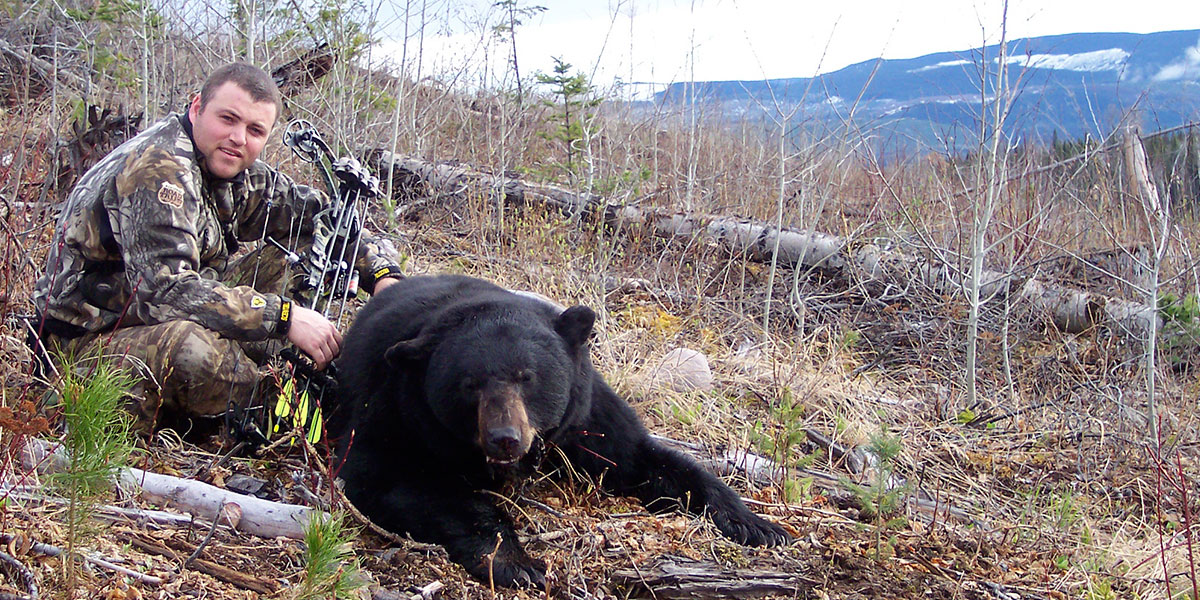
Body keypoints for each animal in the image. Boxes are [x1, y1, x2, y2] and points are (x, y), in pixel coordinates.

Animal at [333, 274, 792, 585]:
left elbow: (642, 458)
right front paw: (518, 562)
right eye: (469, 384)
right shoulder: (400, 410)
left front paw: (759, 525)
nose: (505, 438)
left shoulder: (583, 413)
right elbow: (387, 478)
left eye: (526, 377)